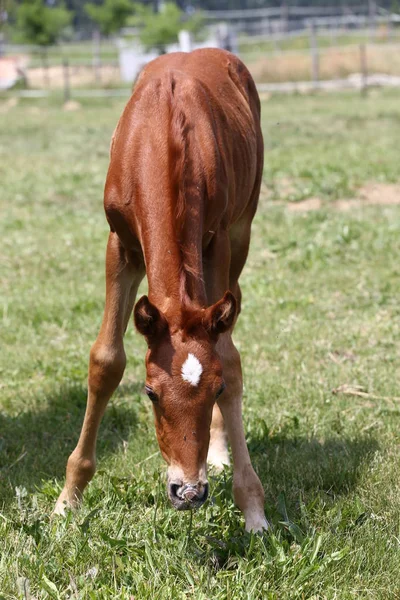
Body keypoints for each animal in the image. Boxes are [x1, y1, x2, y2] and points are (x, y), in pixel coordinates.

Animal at [54, 49, 268, 532]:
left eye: (216, 391)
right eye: (150, 392)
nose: (188, 491)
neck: (163, 138)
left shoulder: (219, 242)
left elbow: (229, 359)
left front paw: (253, 507)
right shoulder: (121, 245)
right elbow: (105, 361)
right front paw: (68, 498)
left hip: (243, 231)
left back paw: (221, 454)